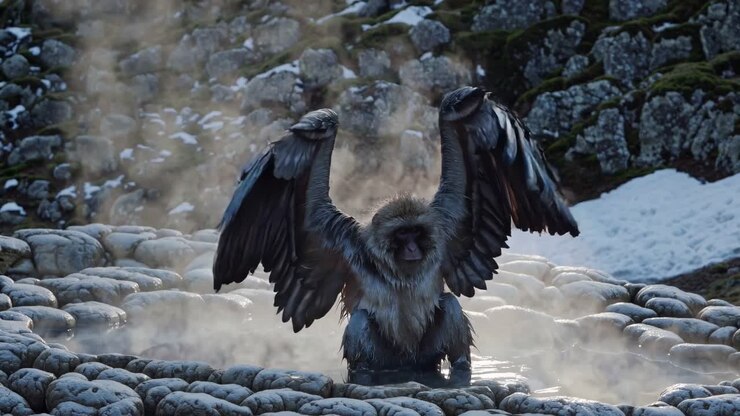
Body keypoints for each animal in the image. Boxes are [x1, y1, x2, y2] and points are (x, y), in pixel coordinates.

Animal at [212, 87, 579, 381]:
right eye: (402, 237)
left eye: (417, 233)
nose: (413, 250)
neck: (397, 267)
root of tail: (409, 366)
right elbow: (313, 128)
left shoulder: (447, 225)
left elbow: (463, 105)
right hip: (385, 356)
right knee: (363, 324)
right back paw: (365, 374)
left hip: (427, 355)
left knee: (450, 306)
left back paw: (460, 370)